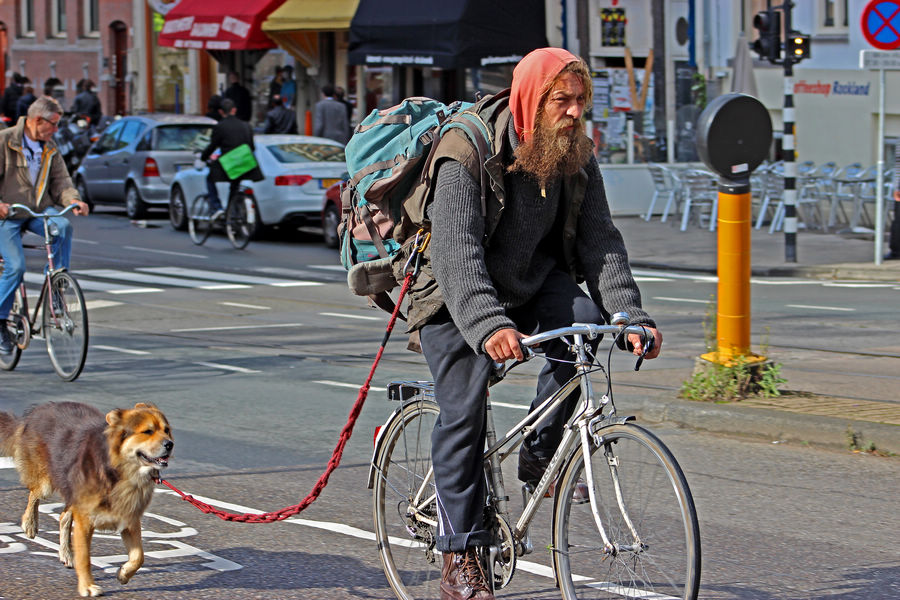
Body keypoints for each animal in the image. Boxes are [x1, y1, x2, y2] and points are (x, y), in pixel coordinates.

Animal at [0, 404, 174, 596]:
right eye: (148, 431)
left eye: (166, 430)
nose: (170, 444)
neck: (121, 472)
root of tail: (39, 410)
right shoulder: (85, 521)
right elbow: (84, 557)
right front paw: (87, 586)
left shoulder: (130, 520)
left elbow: (139, 557)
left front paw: (124, 574)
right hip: (47, 484)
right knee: (34, 495)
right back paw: (30, 524)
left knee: (63, 516)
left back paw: (66, 554)